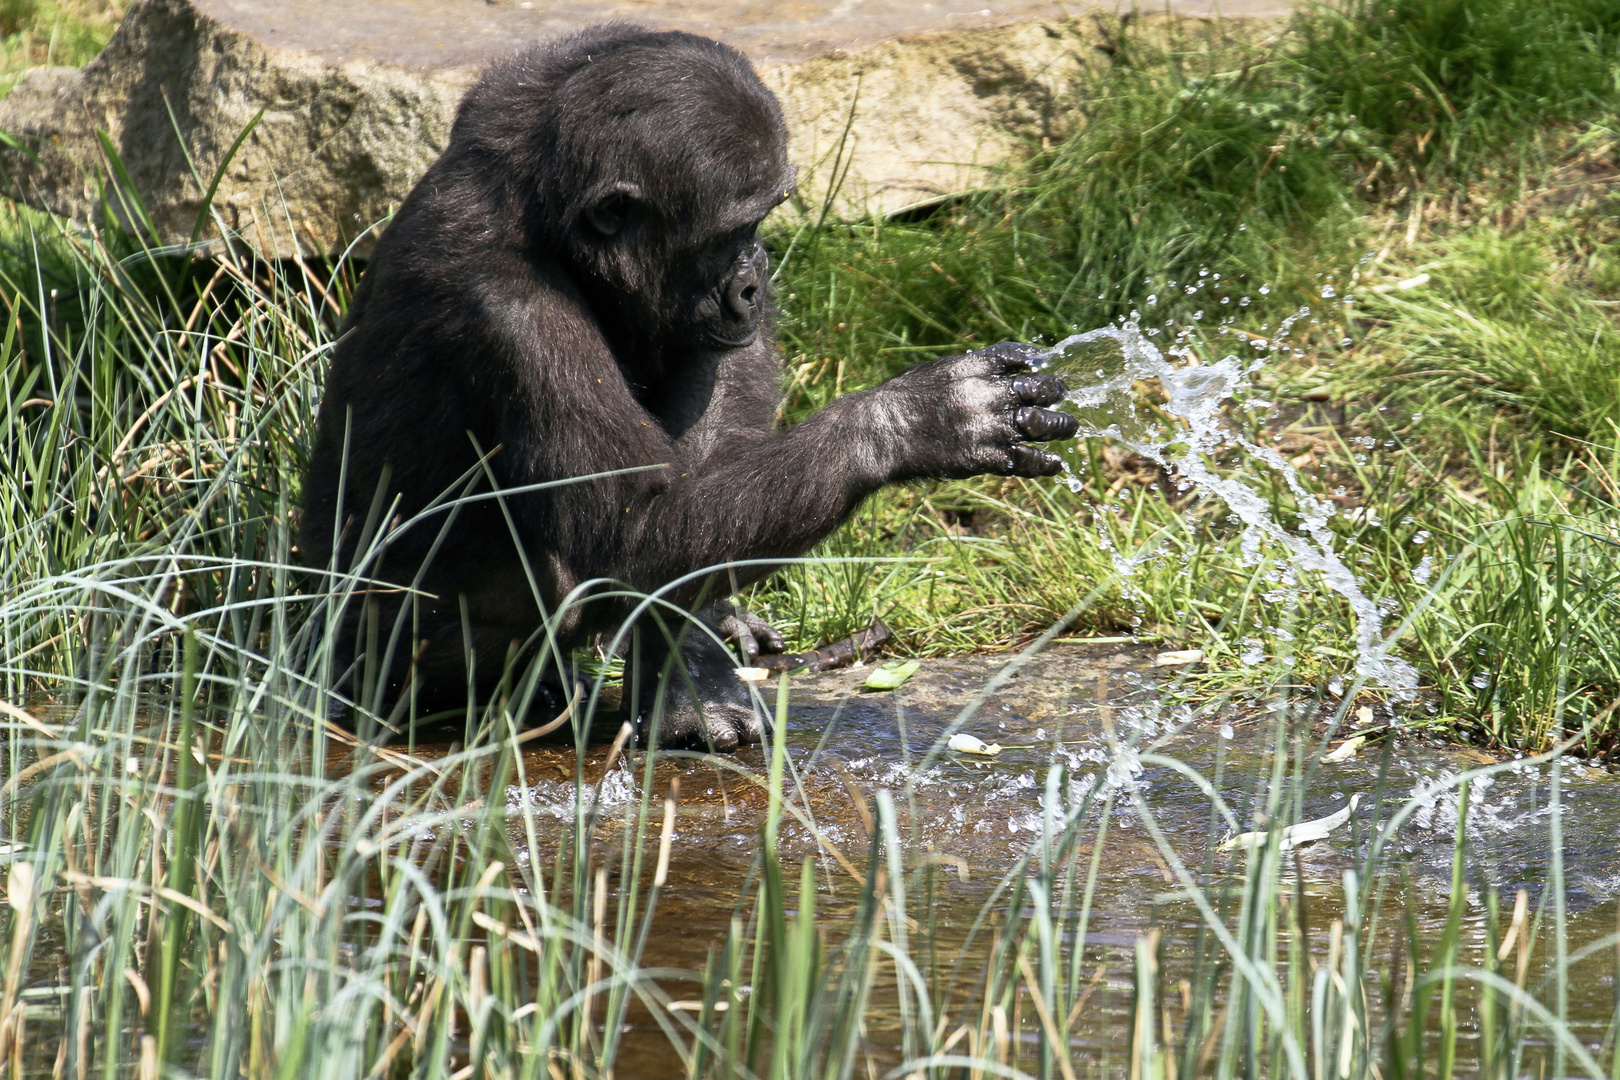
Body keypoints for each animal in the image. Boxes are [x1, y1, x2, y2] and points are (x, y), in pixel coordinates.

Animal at [304, 25, 1082, 751]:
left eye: (762, 221)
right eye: (728, 232)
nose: (755, 275)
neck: (553, 230)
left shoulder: (525, 83)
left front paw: (693, 665)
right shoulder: (512, 317)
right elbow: (631, 529)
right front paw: (916, 420)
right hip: (370, 670)